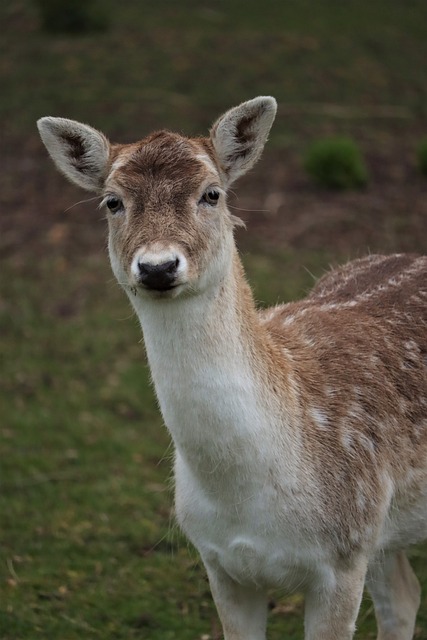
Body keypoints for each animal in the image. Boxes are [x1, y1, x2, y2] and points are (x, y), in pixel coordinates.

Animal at [37, 96, 427, 640]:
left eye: (212, 194)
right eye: (111, 202)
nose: (158, 267)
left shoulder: (343, 555)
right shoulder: (221, 564)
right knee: (405, 595)